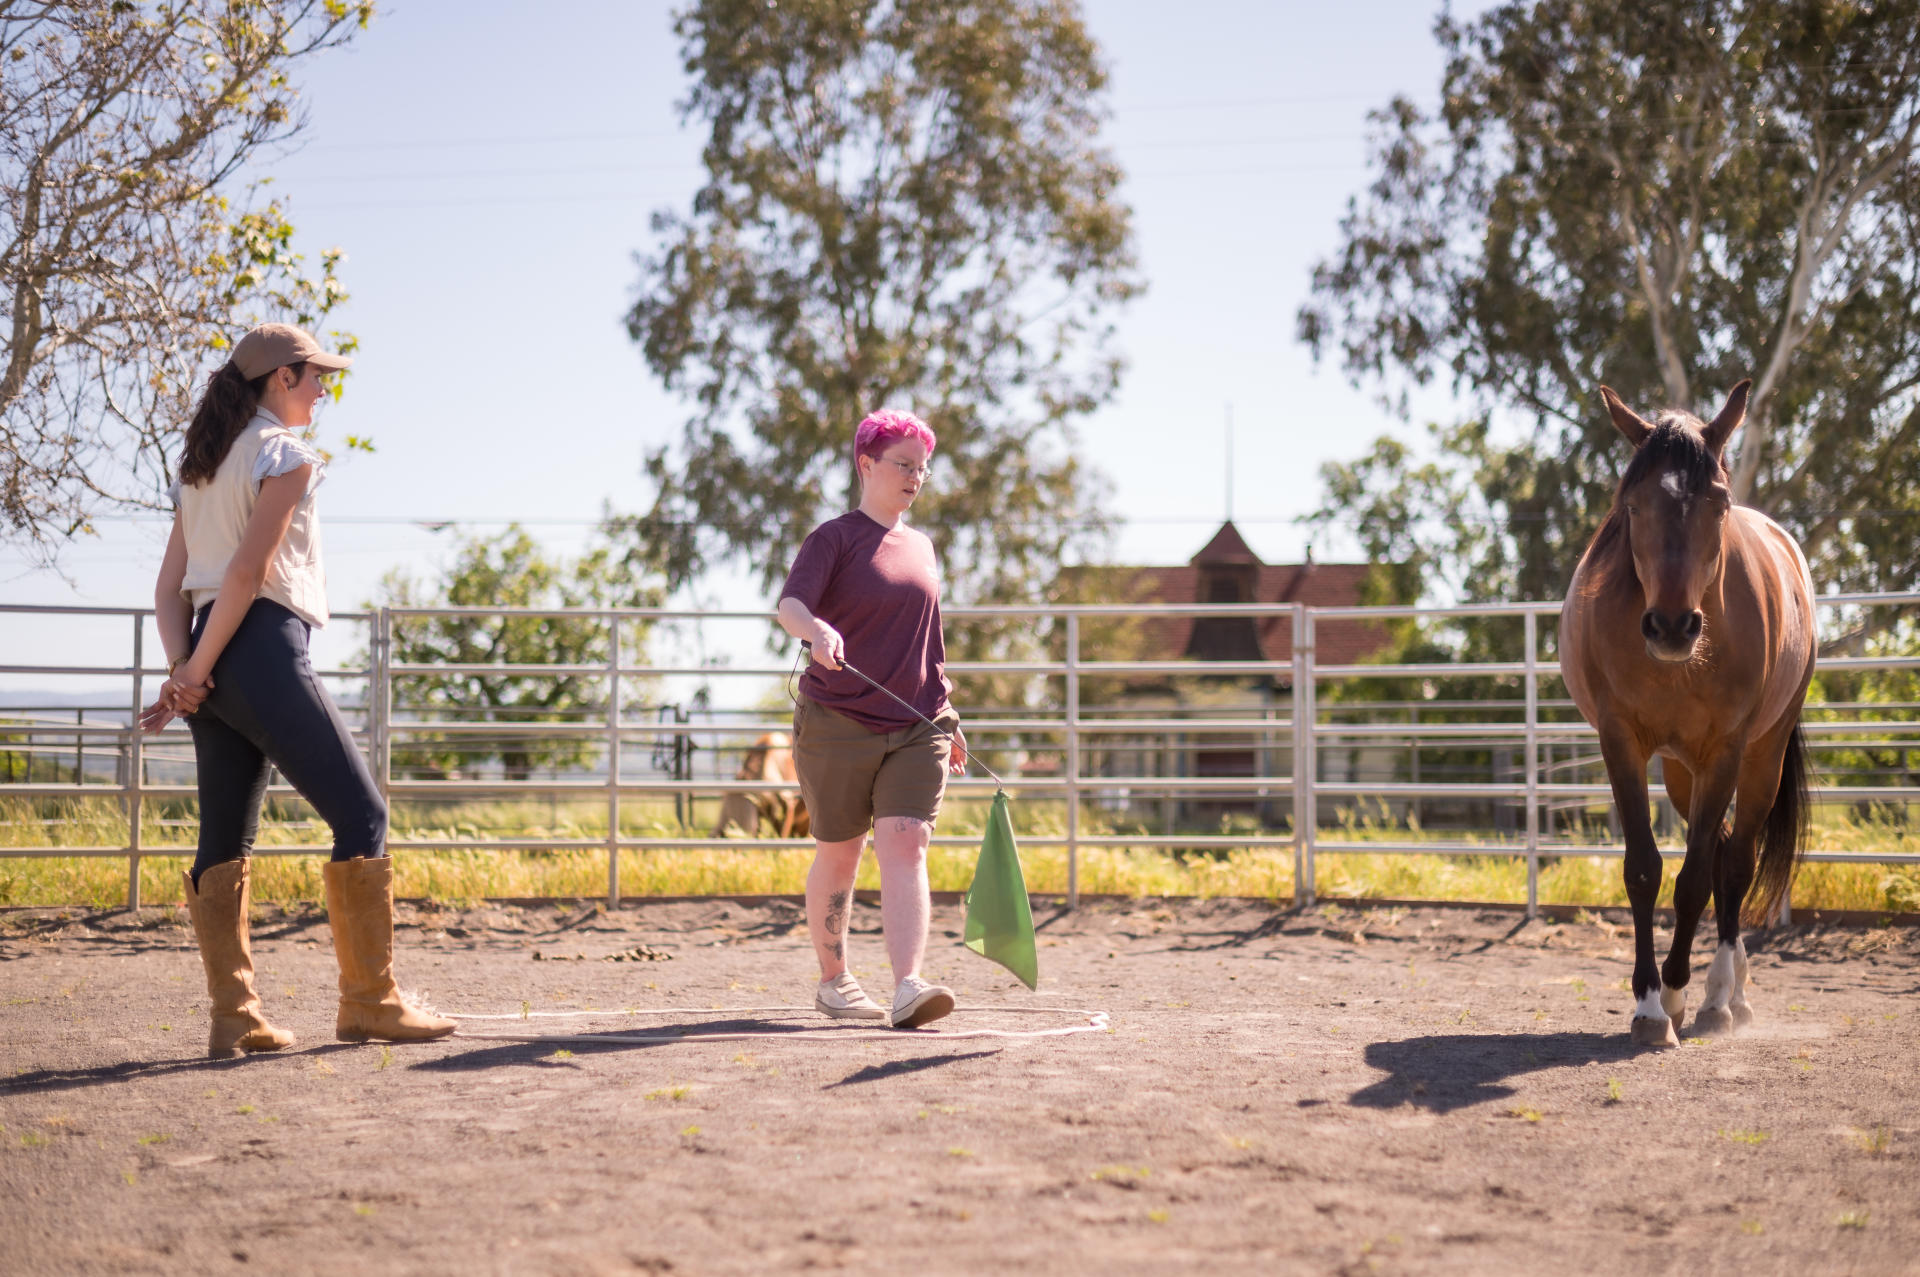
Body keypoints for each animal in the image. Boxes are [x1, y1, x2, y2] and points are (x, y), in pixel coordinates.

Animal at [1559, 376, 1812, 1044]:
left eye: (1717, 504)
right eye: (1633, 505)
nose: (1672, 626)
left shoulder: (1725, 749)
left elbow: (1697, 877)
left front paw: (1675, 993)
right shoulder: (1621, 742)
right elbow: (1645, 870)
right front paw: (1650, 1006)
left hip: (1760, 756)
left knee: (1736, 861)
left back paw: (1724, 996)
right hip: (1679, 769)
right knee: (1722, 852)